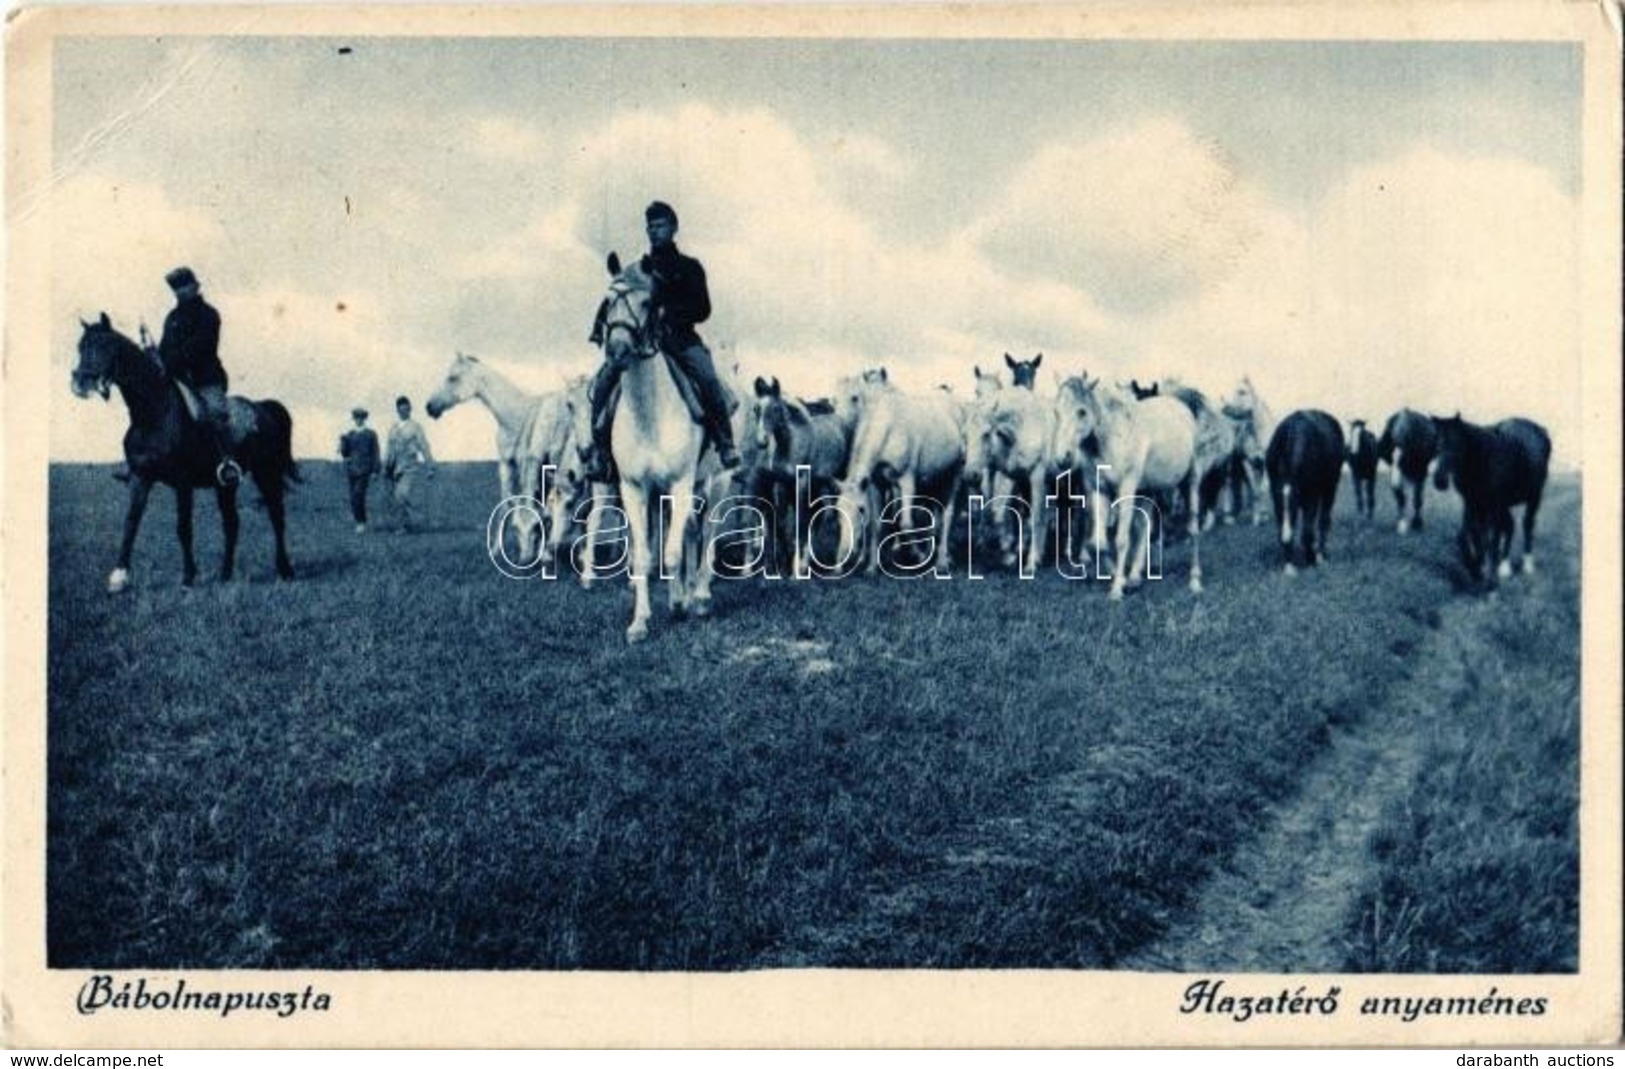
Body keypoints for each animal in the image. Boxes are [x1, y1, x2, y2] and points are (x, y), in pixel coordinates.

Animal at [70, 311, 295, 588]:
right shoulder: (141, 477)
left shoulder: (182, 483)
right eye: (80, 346)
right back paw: (225, 574)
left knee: (276, 516)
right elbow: (131, 521)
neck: (153, 414)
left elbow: (183, 527)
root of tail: (265, 408)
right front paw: (119, 576)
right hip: (226, 485)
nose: (79, 383)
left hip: (267, 474)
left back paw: (284, 569)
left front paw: (188, 576)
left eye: (104, 345)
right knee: (232, 523)